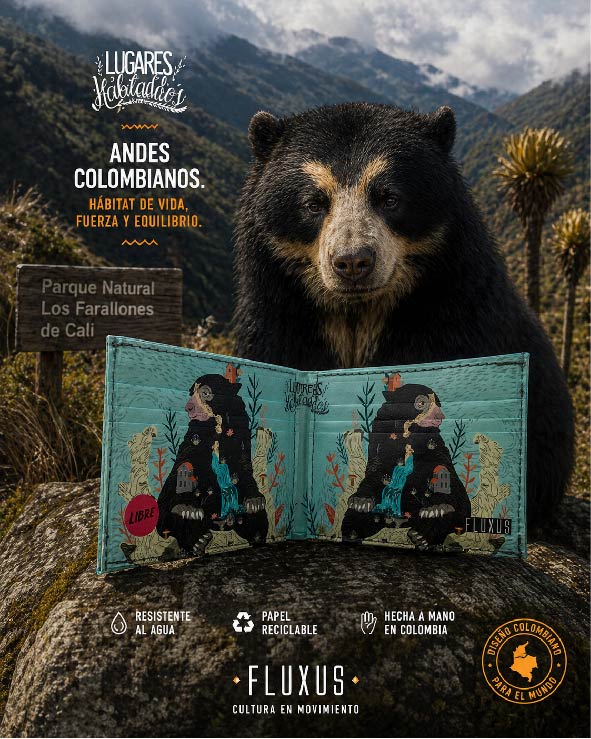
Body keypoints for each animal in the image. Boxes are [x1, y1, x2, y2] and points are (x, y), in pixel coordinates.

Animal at [156, 373, 267, 554]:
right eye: (191, 393)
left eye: (205, 393)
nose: (188, 408)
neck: (217, 422)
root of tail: (219, 524)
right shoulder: (195, 434)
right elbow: (185, 463)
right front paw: (188, 509)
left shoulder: (240, 427)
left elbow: (243, 464)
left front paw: (254, 501)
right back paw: (197, 537)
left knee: (256, 515)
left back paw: (256, 534)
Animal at [233, 102, 573, 526]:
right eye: (314, 202)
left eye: (389, 198)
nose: (353, 262)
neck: (358, 313)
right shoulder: (278, 312)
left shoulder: (453, 313)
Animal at [342, 384, 471, 548]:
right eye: (421, 403)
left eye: (438, 404)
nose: (440, 416)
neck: (408, 433)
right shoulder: (379, 441)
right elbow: (375, 470)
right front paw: (361, 501)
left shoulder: (434, 445)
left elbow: (443, 471)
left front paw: (436, 509)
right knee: (355, 515)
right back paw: (351, 533)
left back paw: (422, 533)